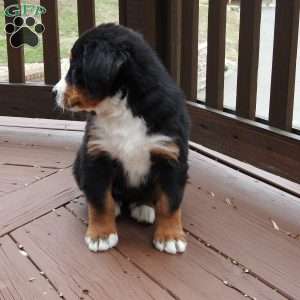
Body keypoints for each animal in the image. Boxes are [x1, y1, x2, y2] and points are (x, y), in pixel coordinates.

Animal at [53, 23, 190, 254]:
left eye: (75, 68)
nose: (54, 92)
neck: (122, 109)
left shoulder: (170, 157)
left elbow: (169, 203)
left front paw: (170, 237)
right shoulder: (96, 156)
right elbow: (100, 201)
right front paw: (101, 235)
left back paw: (144, 206)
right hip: (78, 164)